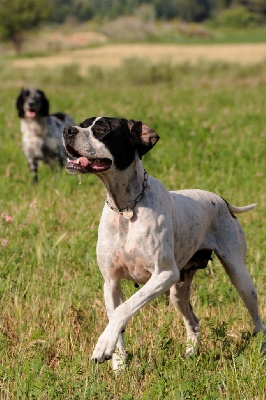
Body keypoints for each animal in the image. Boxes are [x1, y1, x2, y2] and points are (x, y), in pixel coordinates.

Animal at [62, 117, 264, 370]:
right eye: (82, 124)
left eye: (101, 129)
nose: (67, 130)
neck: (126, 208)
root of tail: (222, 200)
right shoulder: (111, 282)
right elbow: (116, 318)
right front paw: (118, 364)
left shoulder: (164, 274)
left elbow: (124, 309)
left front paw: (103, 345)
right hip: (179, 292)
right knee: (193, 321)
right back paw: (190, 354)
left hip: (240, 278)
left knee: (258, 319)